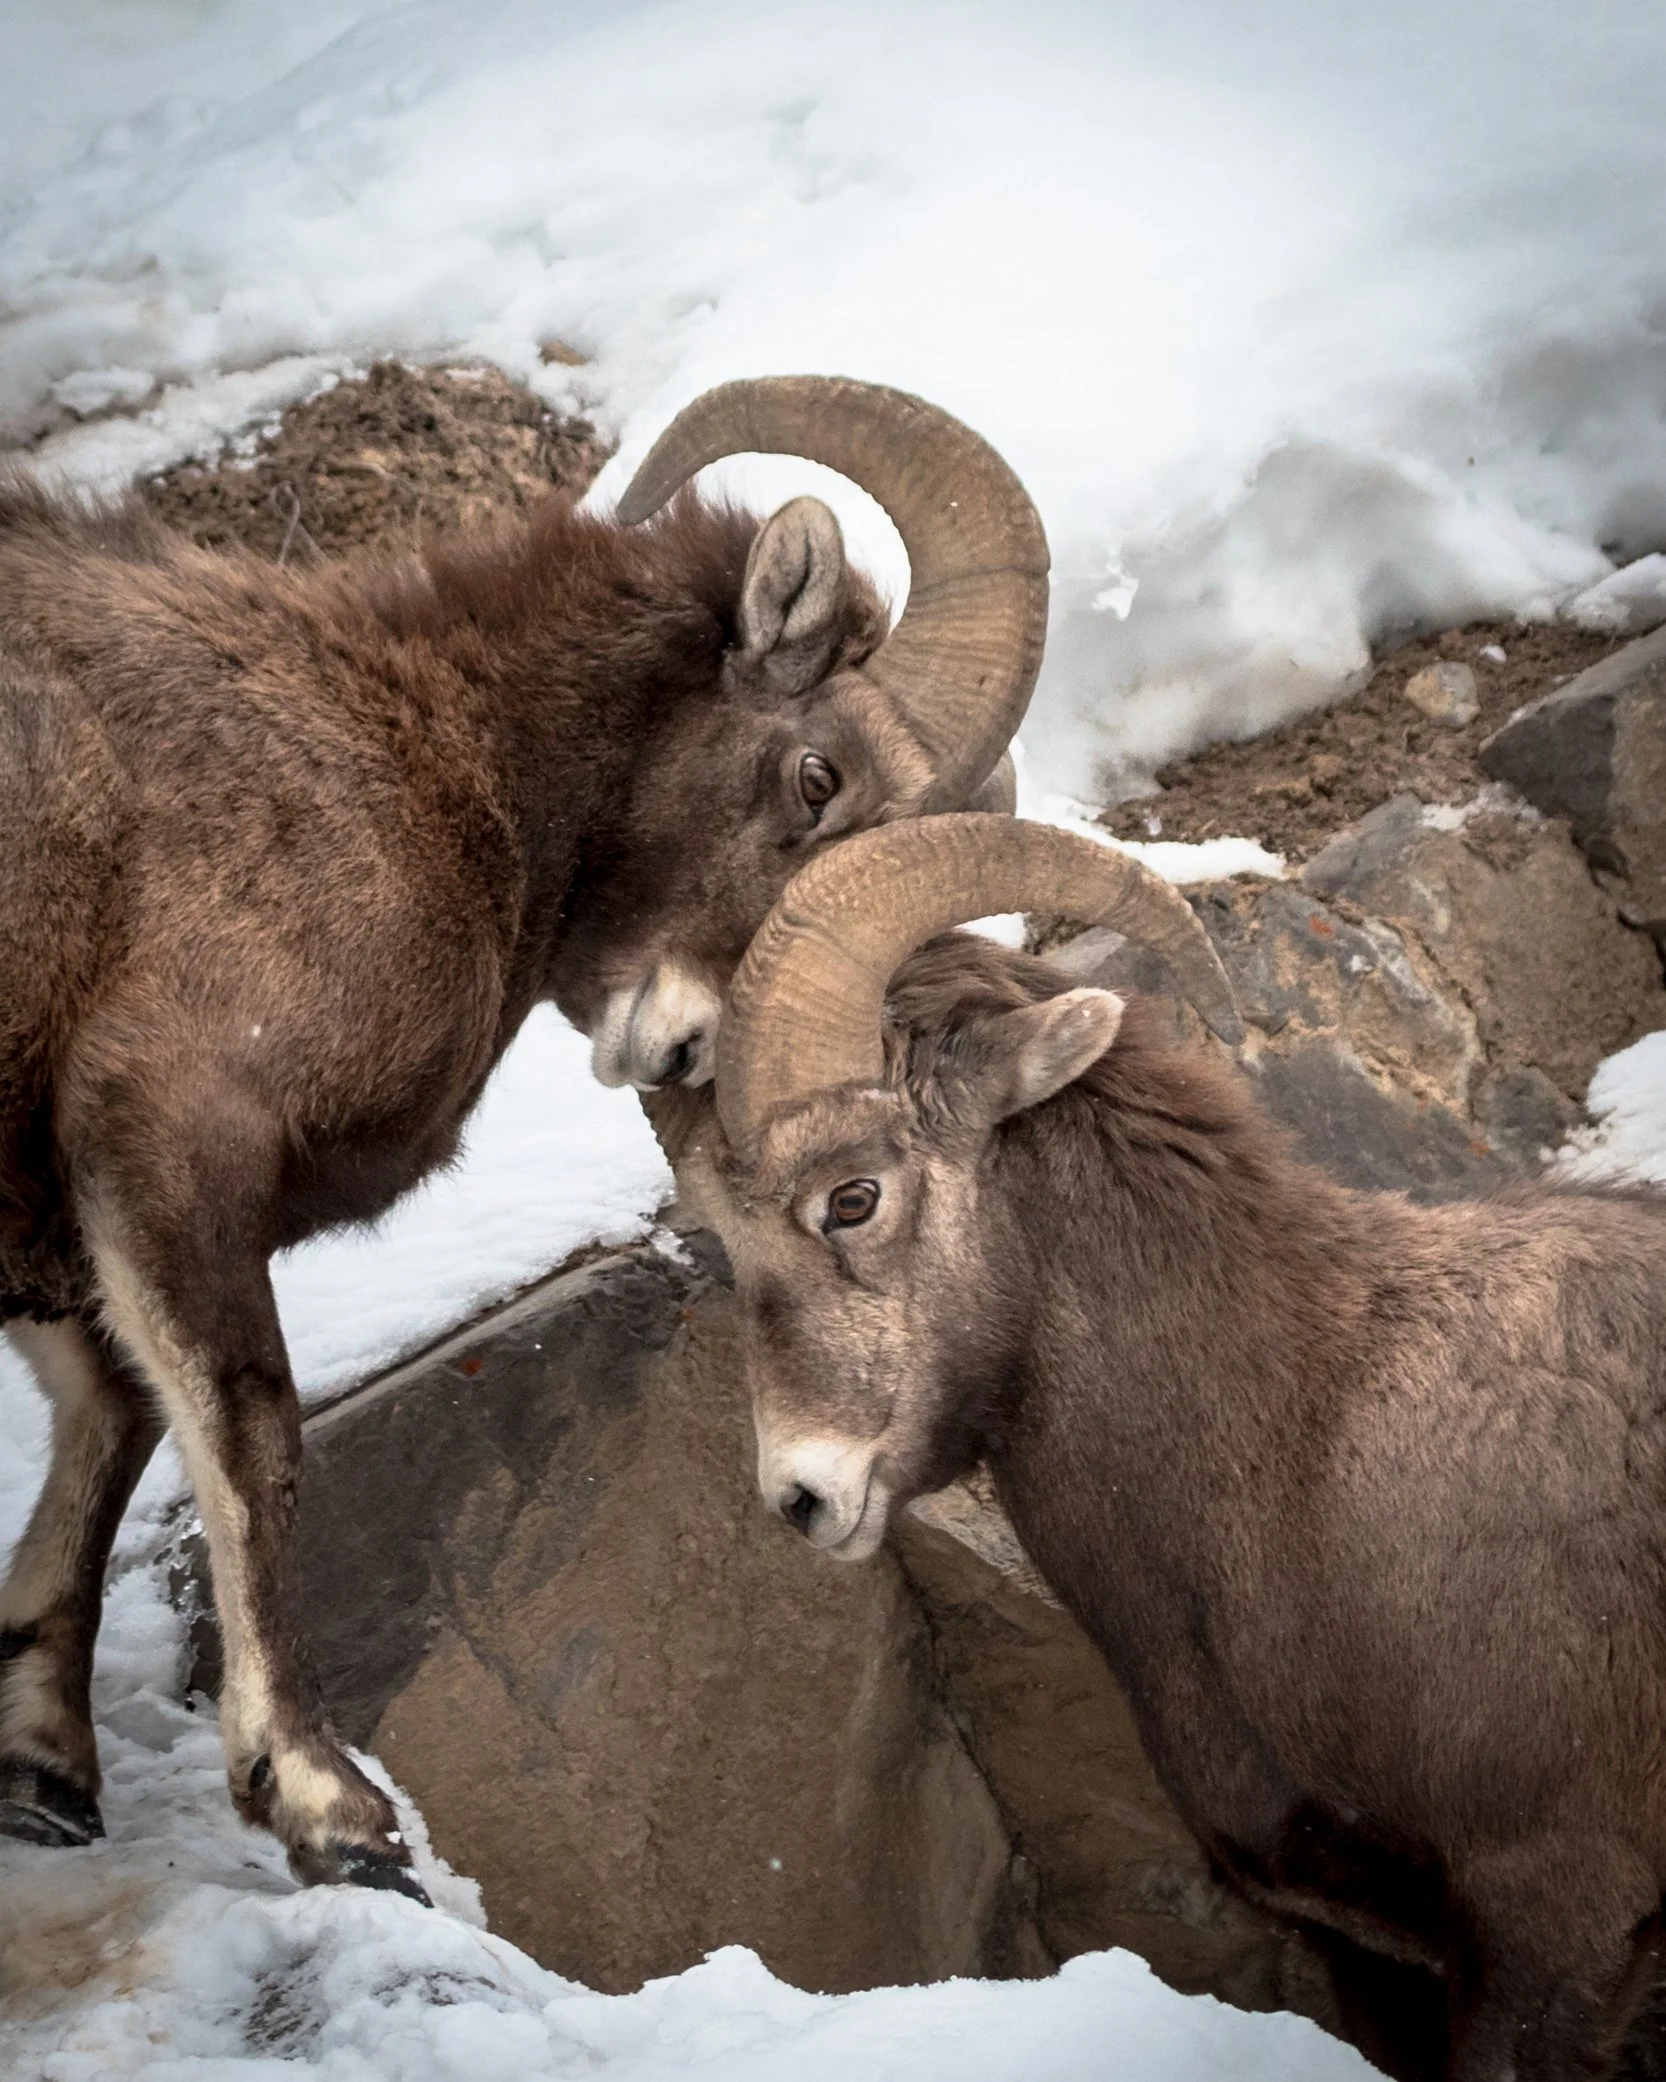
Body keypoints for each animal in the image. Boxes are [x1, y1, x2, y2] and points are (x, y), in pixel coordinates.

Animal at [0, 381, 1047, 1897]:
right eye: (814, 775)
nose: (693, 1051)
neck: (435, 767)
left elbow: (120, 1416)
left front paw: (43, 1772)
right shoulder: (169, 1127)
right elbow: (248, 1427)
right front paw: (331, 1812)